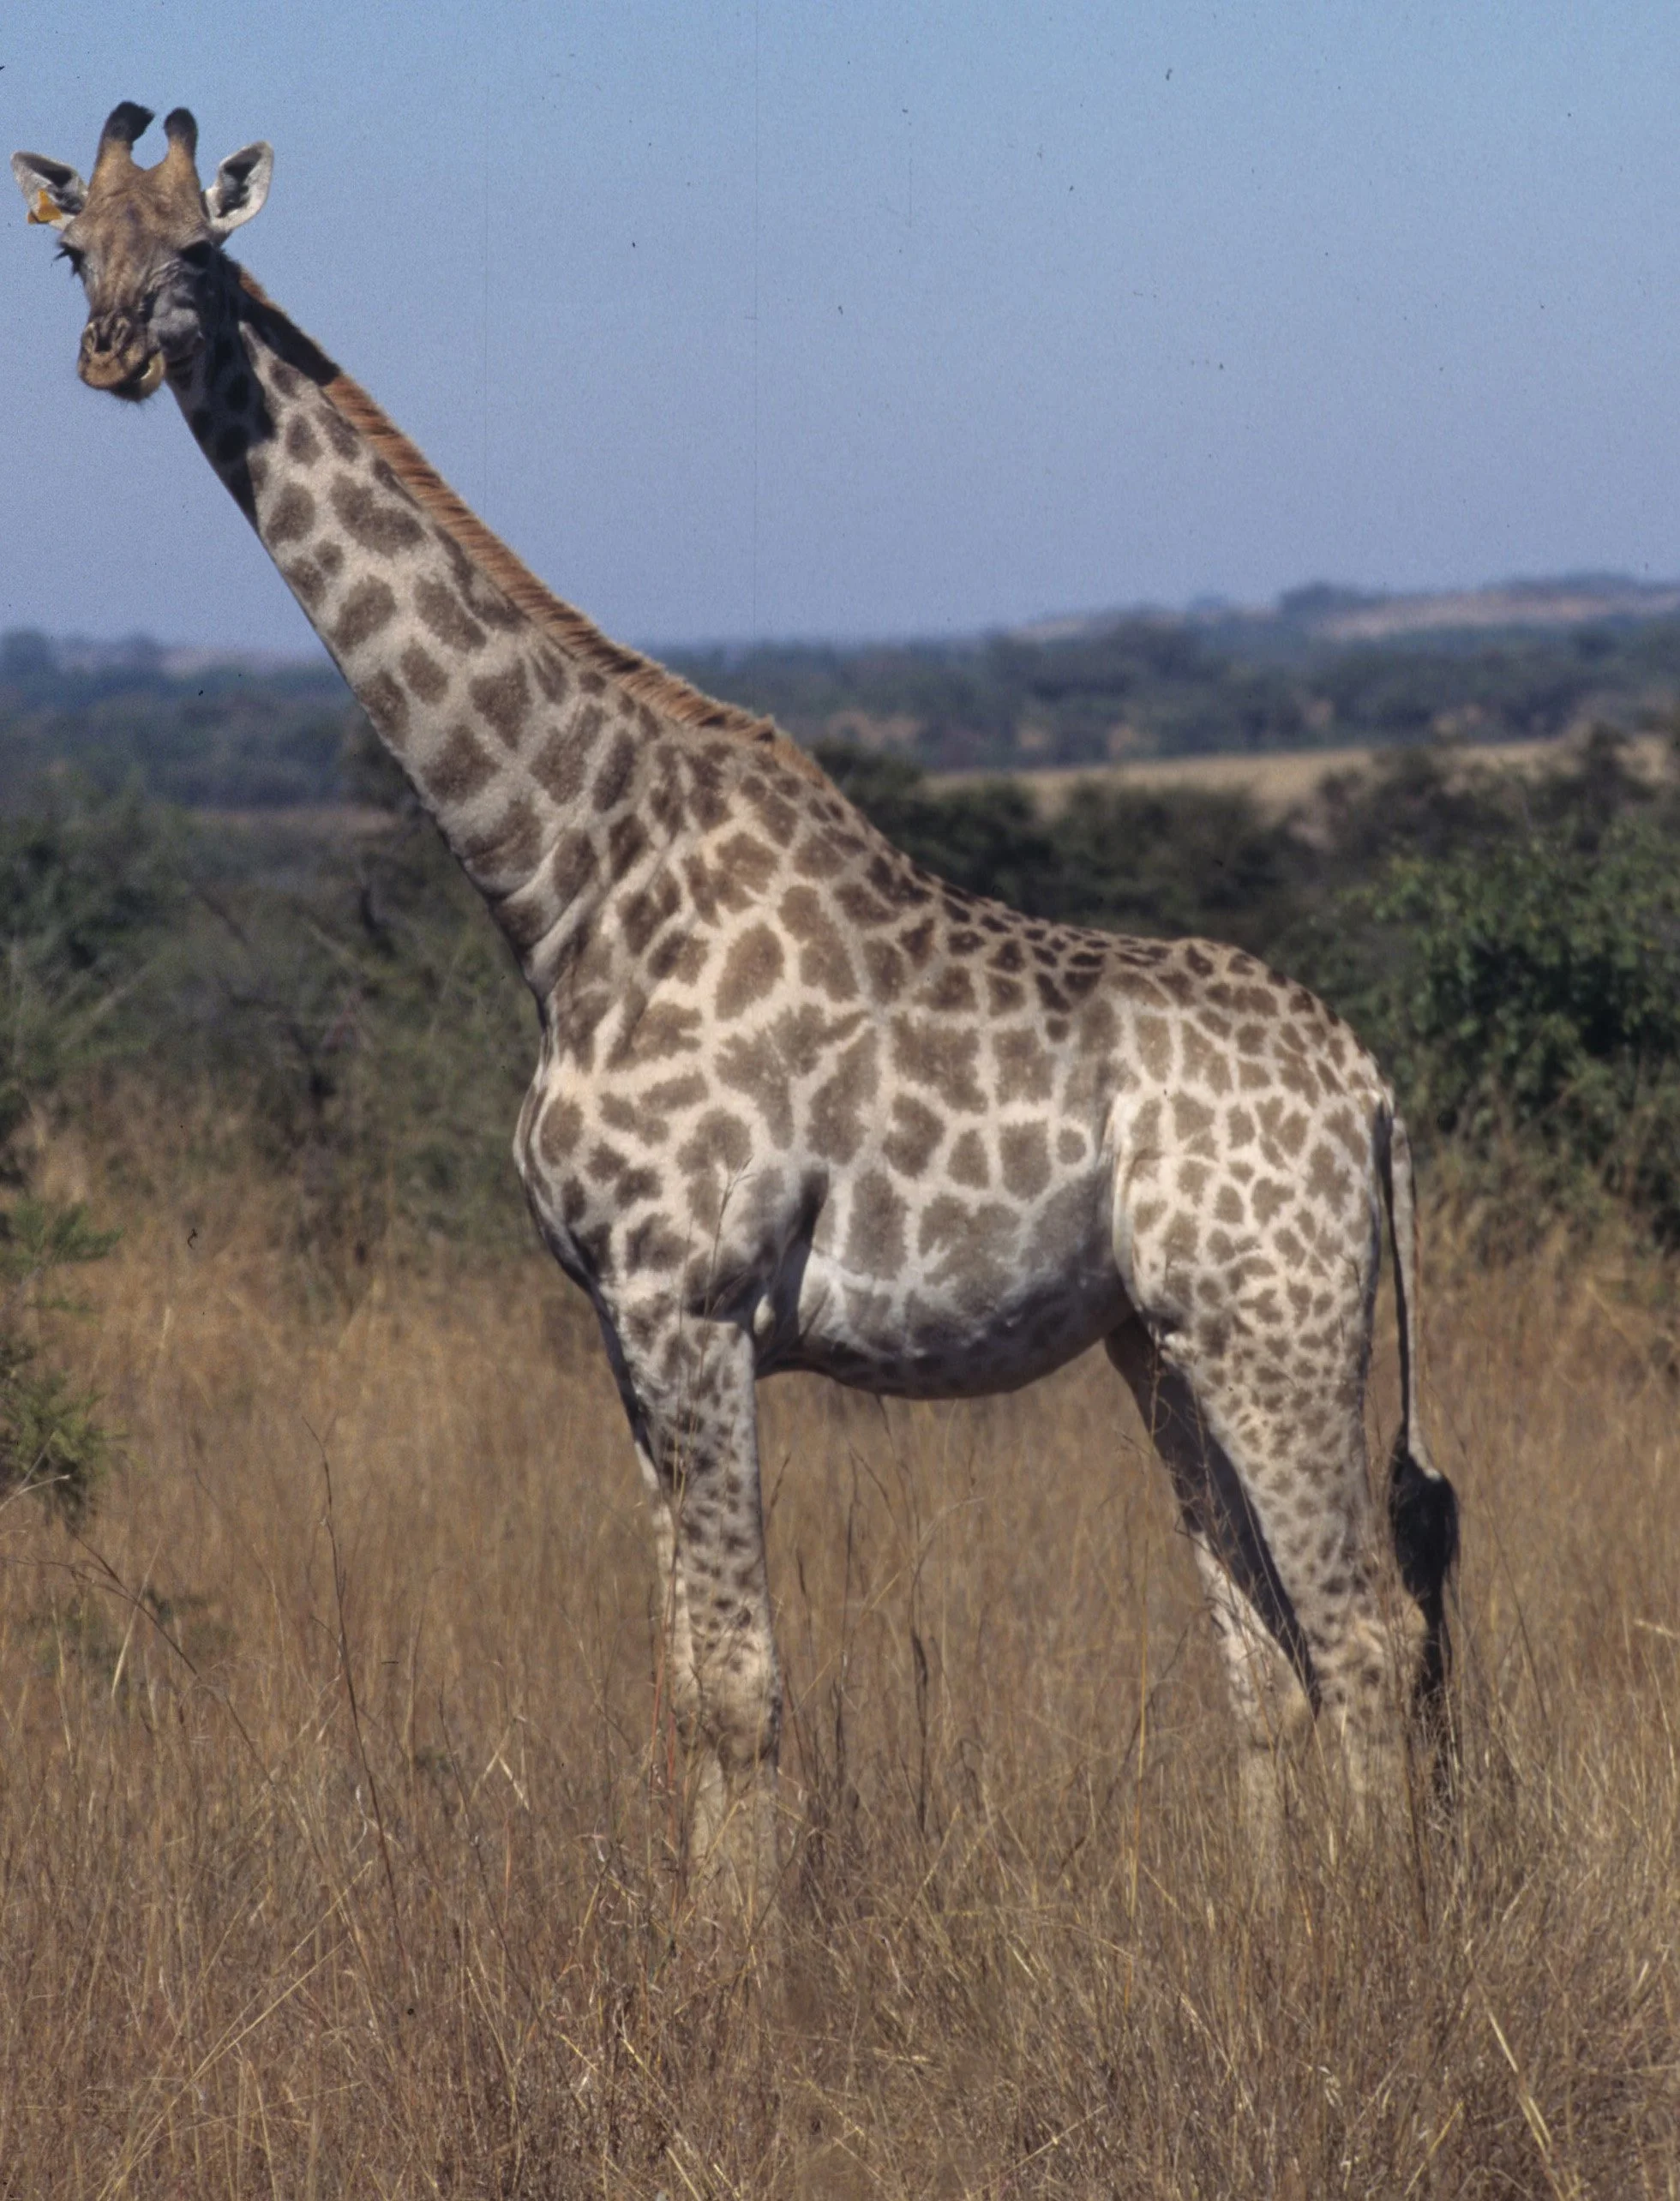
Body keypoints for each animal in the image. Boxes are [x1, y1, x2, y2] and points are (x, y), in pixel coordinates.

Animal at [15, 104, 1458, 1903]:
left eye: (201, 249)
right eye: (74, 250)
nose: (110, 352)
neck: (565, 882)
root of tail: (1374, 1091)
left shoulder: (690, 1297)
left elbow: (744, 1690)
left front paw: (740, 1971)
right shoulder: (619, 1318)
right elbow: (686, 1684)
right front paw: (707, 1945)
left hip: (1283, 1323)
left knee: (1371, 1638)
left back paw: (1377, 1949)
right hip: (1165, 1338)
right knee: (1268, 1657)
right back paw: (1280, 1935)